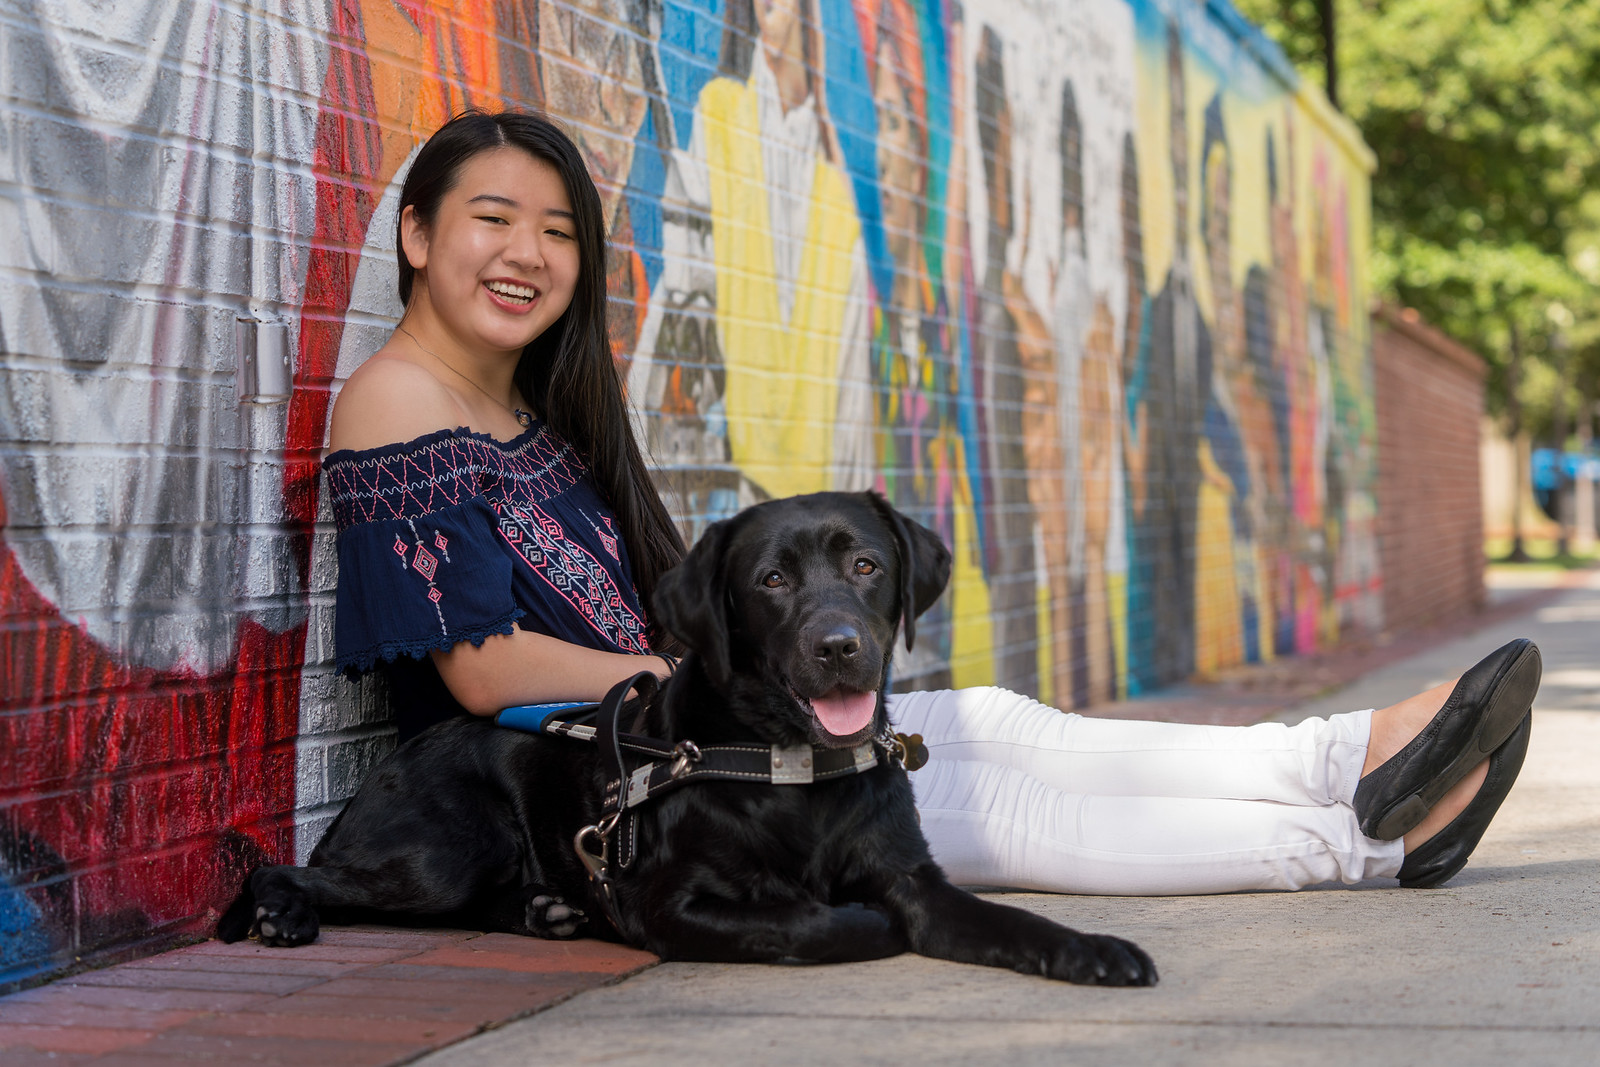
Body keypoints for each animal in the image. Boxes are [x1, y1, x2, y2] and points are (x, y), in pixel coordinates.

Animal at [219, 495, 1158, 991]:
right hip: (440, 853)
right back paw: (281, 911)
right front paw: (852, 919)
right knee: (301, 870)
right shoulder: (671, 902)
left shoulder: (914, 878)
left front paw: (1092, 950)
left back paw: (544, 909)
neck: (796, 769)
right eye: (771, 581)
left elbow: (1006, 917)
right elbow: (819, 924)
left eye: (866, 566)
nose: (840, 645)